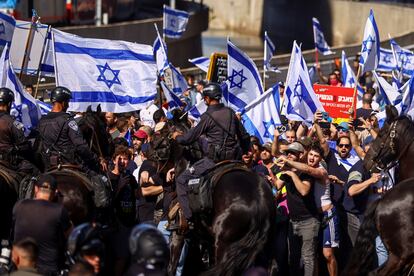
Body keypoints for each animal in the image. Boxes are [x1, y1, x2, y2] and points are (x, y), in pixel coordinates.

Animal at [150, 112, 276, 276]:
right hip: (265, 245)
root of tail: (259, 200)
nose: (149, 151)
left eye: (161, 132)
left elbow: (171, 266)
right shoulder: (207, 241)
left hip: (224, 245)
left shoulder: (178, 234)